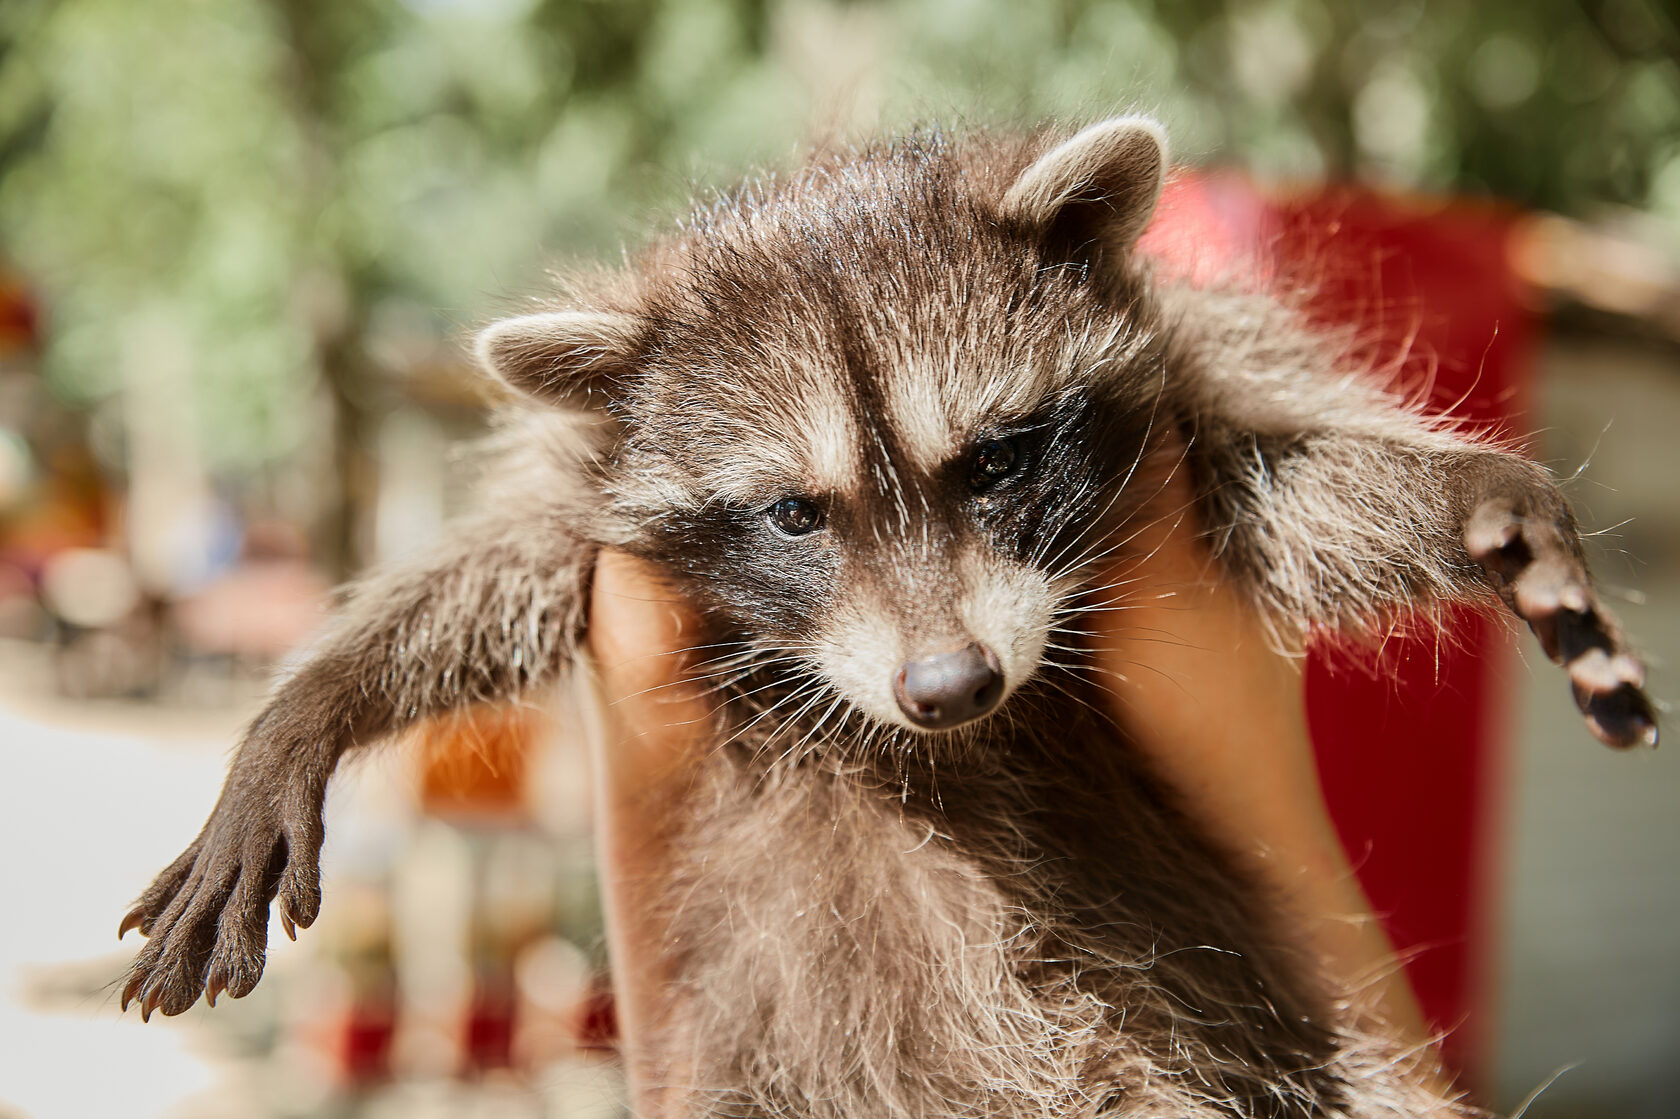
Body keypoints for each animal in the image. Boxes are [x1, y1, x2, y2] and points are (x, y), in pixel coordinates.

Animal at [115, 117, 1653, 1108]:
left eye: (998, 459)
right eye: (797, 514)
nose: (951, 685)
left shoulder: (1198, 378)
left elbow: (1291, 506)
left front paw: (1462, 495)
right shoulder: (585, 493)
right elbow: (484, 579)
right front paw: (311, 704)